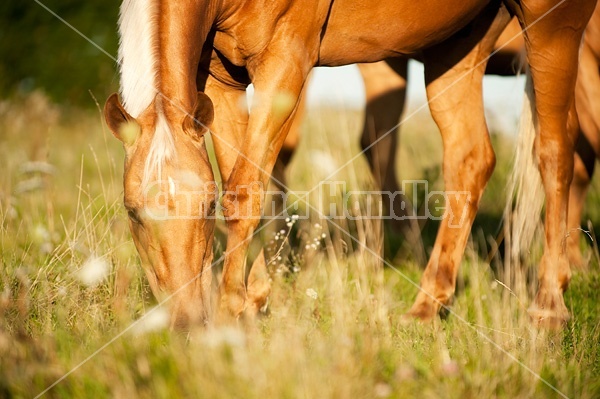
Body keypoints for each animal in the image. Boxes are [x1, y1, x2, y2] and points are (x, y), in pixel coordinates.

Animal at [104, 0, 596, 328]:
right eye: (133, 213)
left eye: (206, 210)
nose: (186, 322)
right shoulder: (224, 78)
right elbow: (243, 178)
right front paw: (254, 296)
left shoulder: (287, 59)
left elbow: (244, 192)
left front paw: (231, 312)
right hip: (455, 46)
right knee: (470, 158)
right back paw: (427, 305)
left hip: (555, 28)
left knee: (556, 151)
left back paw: (549, 305)